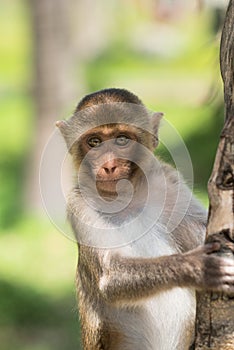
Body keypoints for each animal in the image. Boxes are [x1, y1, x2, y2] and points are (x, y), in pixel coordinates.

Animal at [56, 88, 234, 350]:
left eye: (121, 139)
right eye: (95, 142)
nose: (109, 166)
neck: (126, 199)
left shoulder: (169, 181)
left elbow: (201, 228)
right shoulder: (79, 204)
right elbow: (110, 275)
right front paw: (198, 268)